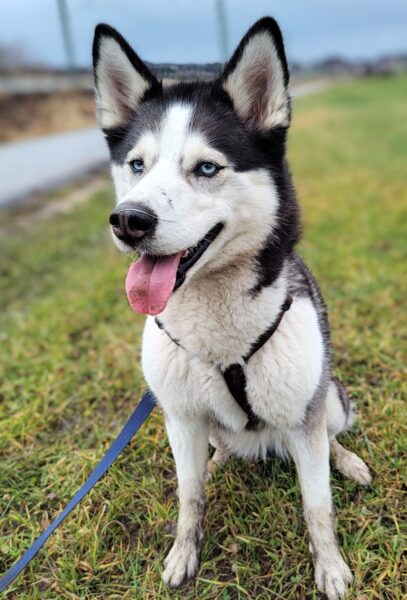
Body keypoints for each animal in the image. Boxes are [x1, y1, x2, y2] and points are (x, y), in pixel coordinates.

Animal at [92, 17, 371, 599]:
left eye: (206, 167)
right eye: (137, 165)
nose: (129, 220)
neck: (219, 335)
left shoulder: (305, 416)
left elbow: (318, 505)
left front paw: (330, 567)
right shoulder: (178, 416)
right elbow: (189, 495)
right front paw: (184, 553)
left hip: (328, 396)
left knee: (331, 438)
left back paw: (348, 461)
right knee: (216, 449)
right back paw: (220, 459)